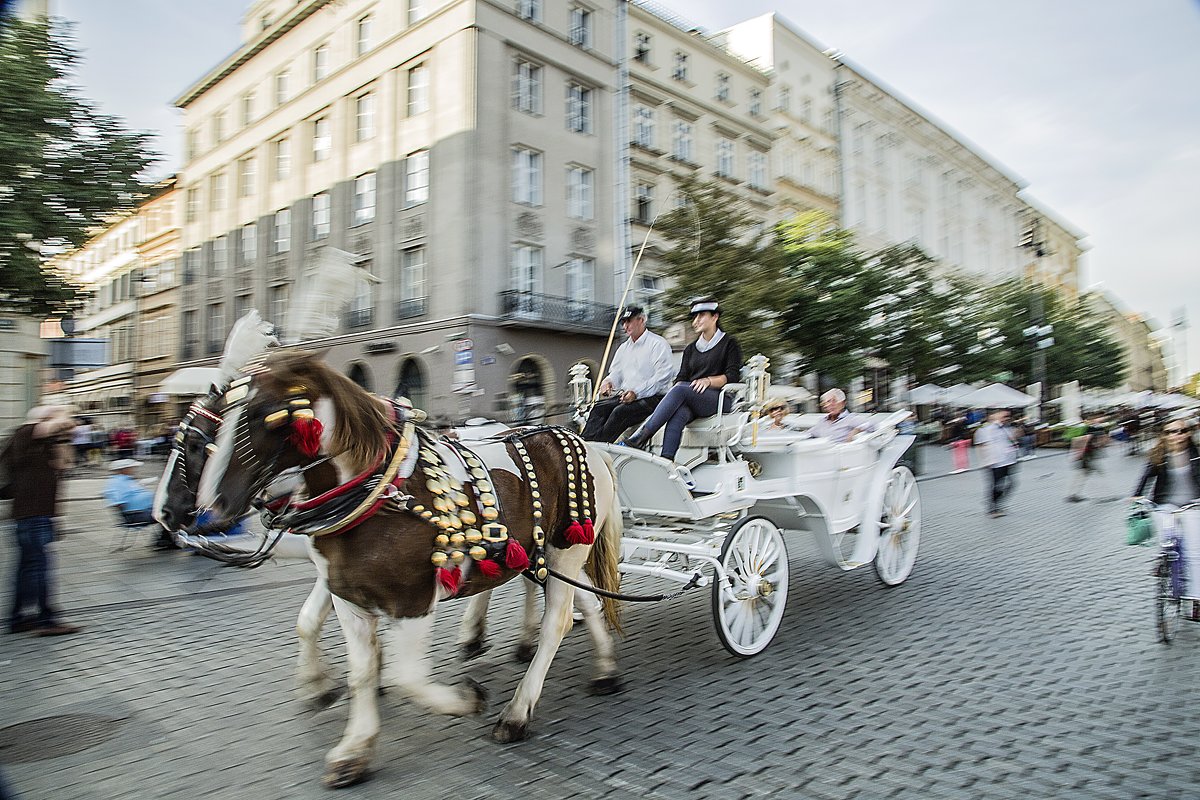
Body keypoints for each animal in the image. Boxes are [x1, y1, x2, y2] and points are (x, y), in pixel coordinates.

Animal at [192, 352, 624, 786]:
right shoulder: (346, 595)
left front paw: (466, 699)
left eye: (267, 413)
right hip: (549, 550)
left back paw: (517, 711)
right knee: (585, 600)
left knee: (558, 621)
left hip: (567, 547)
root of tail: (588, 445)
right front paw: (353, 748)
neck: (374, 493)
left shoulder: (413, 598)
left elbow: (408, 677)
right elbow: (359, 668)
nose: (213, 507)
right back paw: (604, 669)